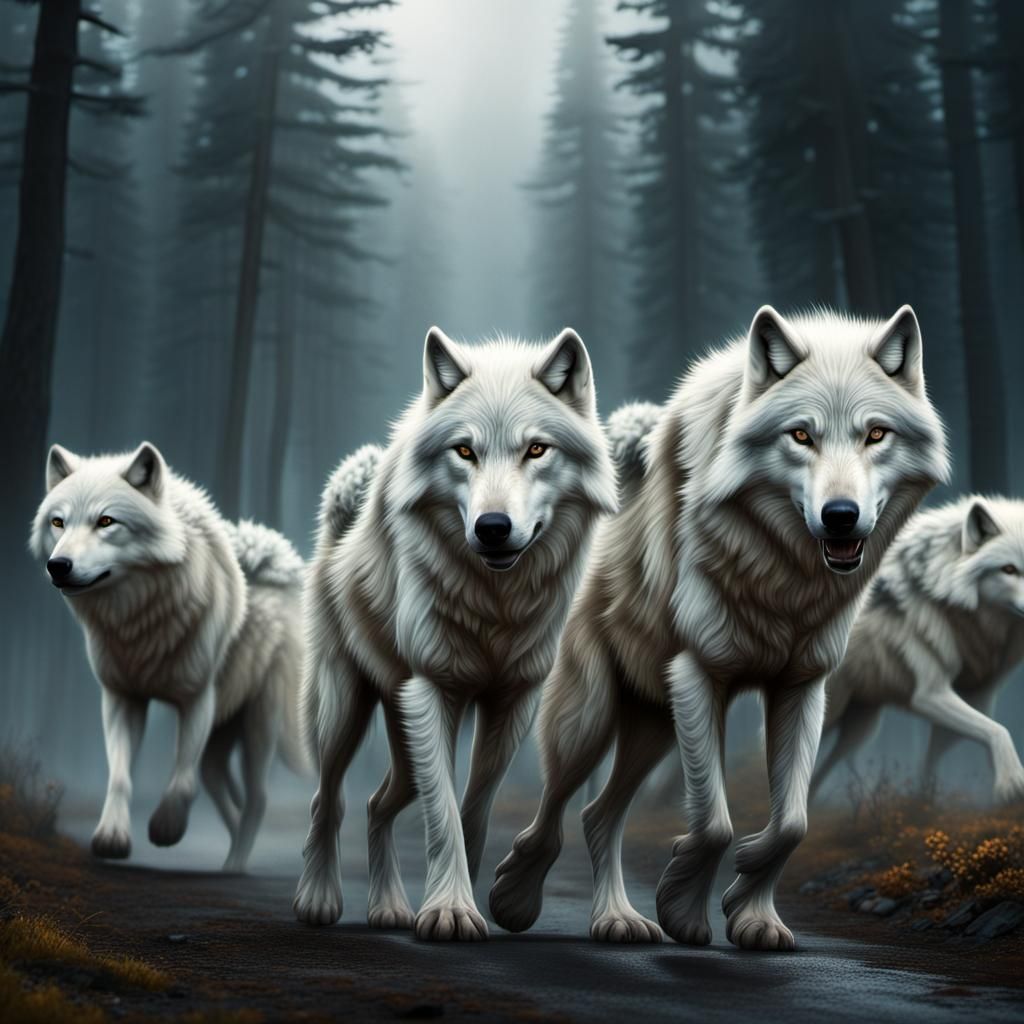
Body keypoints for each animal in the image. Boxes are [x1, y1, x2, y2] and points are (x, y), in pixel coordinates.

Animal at [30, 443, 309, 872]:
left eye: (106, 521)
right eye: (58, 522)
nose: (58, 566)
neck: (138, 620)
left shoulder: (197, 698)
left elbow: (181, 779)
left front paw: (166, 828)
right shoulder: (122, 697)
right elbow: (120, 775)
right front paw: (111, 838)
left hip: (258, 727)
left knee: (256, 800)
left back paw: (233, 868)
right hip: (219, 746)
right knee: (227, 796)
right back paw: (233, 861)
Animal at [293, 326, 617, 941]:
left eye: (536, 450)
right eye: (465, 451)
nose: (492, 528)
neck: (496, 603)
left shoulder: (513, 699)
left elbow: (473, 809)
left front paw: (463, 903)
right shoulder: (432, 690)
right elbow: (442, 812)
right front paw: (449, 911)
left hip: (401, 730)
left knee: (377, 804)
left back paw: (389, 909)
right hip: (343, 709)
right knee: (328, 799)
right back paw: (317, 900)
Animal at [489, 305, 949, 950]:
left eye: (876, 434)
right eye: (801, 435)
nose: (840, 516)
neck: (783, 579)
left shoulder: (802, 687)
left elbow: (792, 822)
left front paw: (752, 914)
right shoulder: (698, 673)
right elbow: (714, 823)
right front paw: (685, 912)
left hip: (654, 726)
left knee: (597, 815)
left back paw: (616, 919)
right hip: (591, 719)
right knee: (555, 813)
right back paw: (515, 900)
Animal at [812, 496, 1024, 804]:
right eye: (1009, 570)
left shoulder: (978, 695)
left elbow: (941, 752)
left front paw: (926, 801)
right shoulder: (930, 693)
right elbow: (998, 730)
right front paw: (1012, 784)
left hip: (862, 726)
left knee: (824, 767)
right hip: (830, 715)